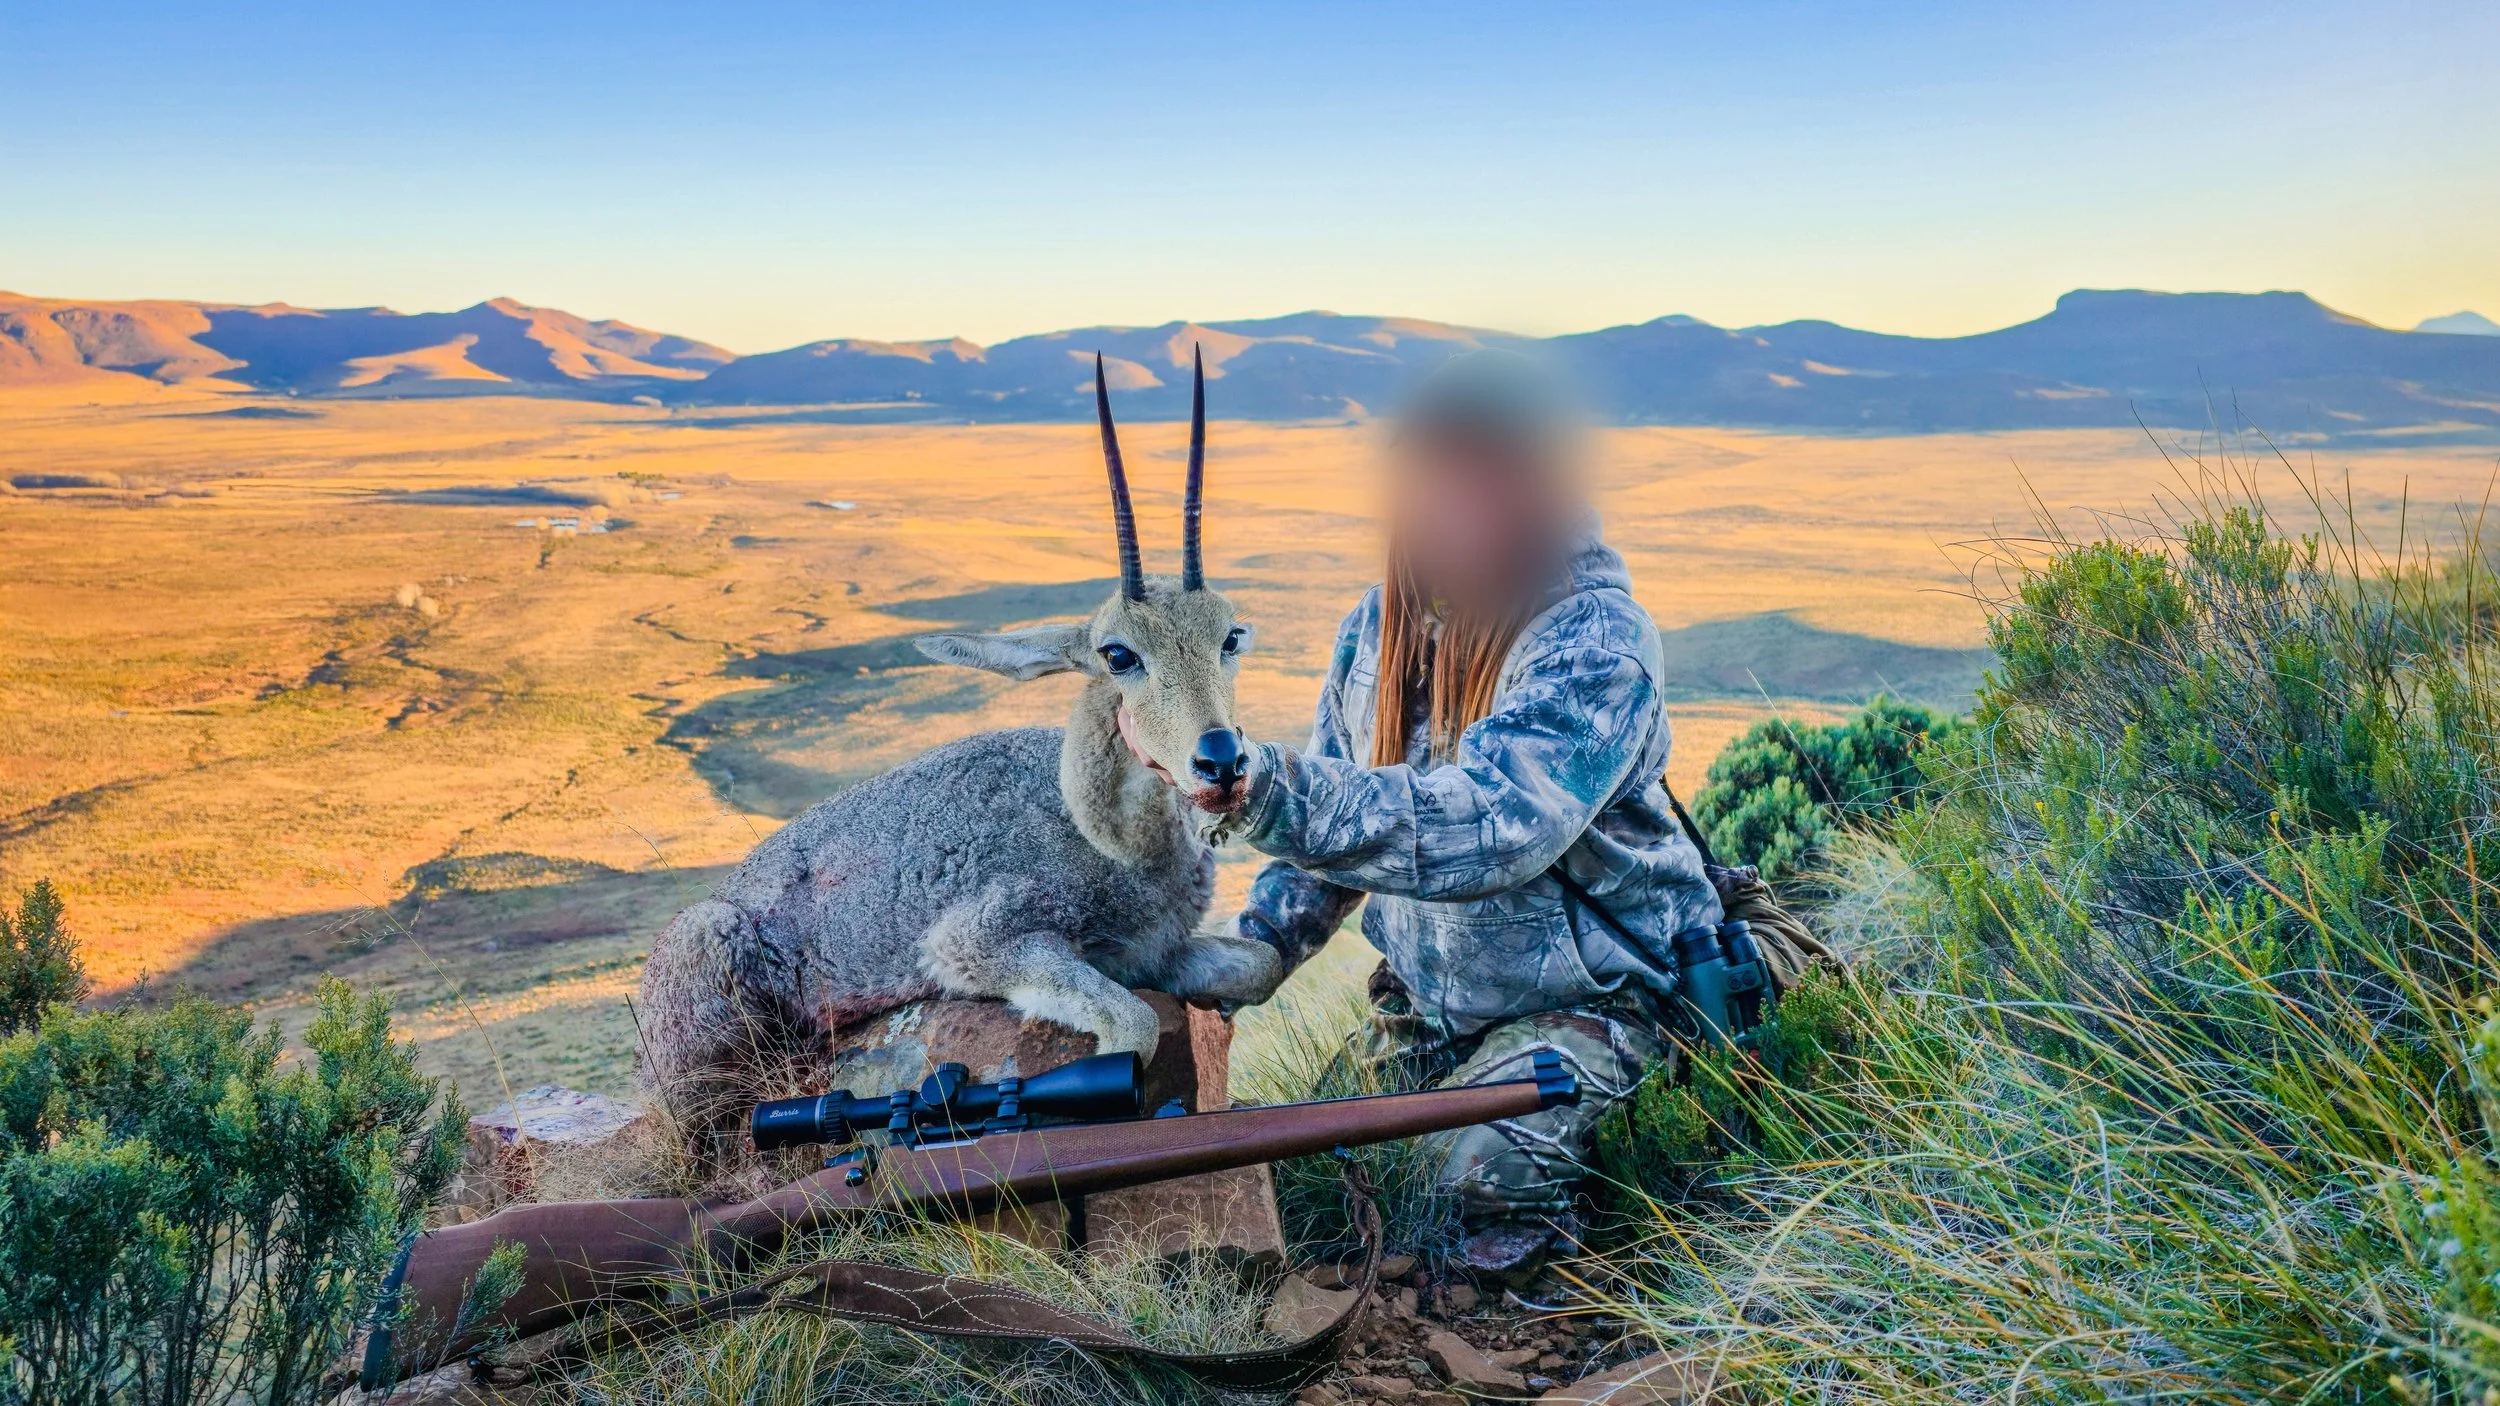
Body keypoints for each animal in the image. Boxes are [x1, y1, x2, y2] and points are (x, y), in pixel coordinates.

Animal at [636, 350, 1285, 1132]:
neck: (1113, 844)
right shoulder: (979, 943)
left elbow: (1261, 967)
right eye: (1118, 654)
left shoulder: (1156, 953)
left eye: (1231, 636)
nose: (1221, 760)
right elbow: (1129, 1026)